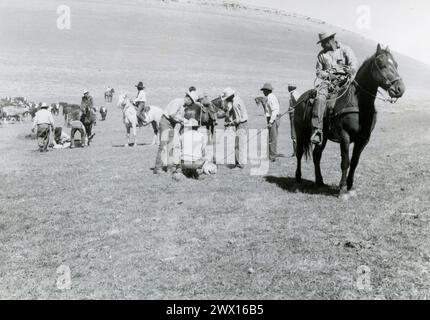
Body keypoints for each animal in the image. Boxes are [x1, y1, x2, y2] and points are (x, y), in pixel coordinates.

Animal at [292, 43, 406, 196]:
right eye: (382, 65)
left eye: (396, 64)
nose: (400, 89)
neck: (358, 103)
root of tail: (301, 99)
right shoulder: (344, 136)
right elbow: (345, 162)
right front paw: (342, 188)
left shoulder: (363, 139)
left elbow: (355, 161)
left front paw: (350, 186)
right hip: (300, 132)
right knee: (299, 153)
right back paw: (298, 179)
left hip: (323, 136)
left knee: (317, 155)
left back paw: (319, 181)